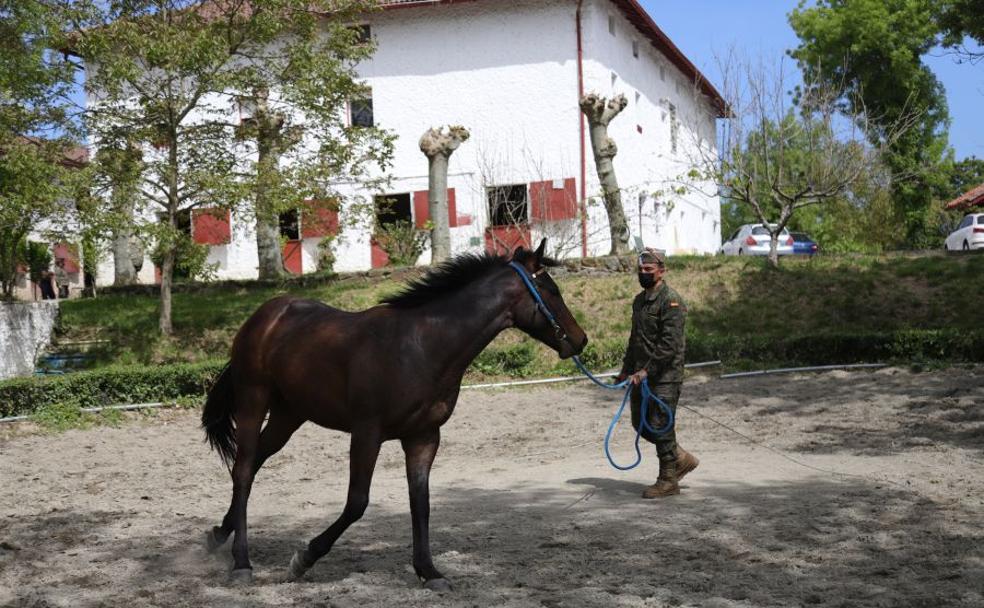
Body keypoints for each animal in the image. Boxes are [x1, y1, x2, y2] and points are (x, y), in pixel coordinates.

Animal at [200, 241, 584, 588]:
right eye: (551, 290)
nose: (580, 340)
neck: (421, 345)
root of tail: (265, 315)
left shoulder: (423, 436)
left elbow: (421, 503)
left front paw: (429, 572)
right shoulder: (367, 433)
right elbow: (357, 503)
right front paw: (304, 558)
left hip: (288, 414)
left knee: (254, 464)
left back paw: (219, 534)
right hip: (253, 402)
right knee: (243, 470)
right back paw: (241, 563)